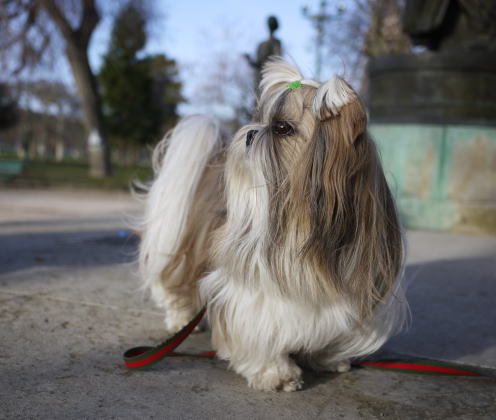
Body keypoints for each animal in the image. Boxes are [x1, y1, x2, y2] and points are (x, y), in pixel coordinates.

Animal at [139, 58, 406, 390]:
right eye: (259, 119)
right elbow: (260, 331)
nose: (250, 132)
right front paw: (275, 373)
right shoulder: (251, 293)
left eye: (281, 128)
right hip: (182, 251)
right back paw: (181, 318)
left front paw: (327, 359)